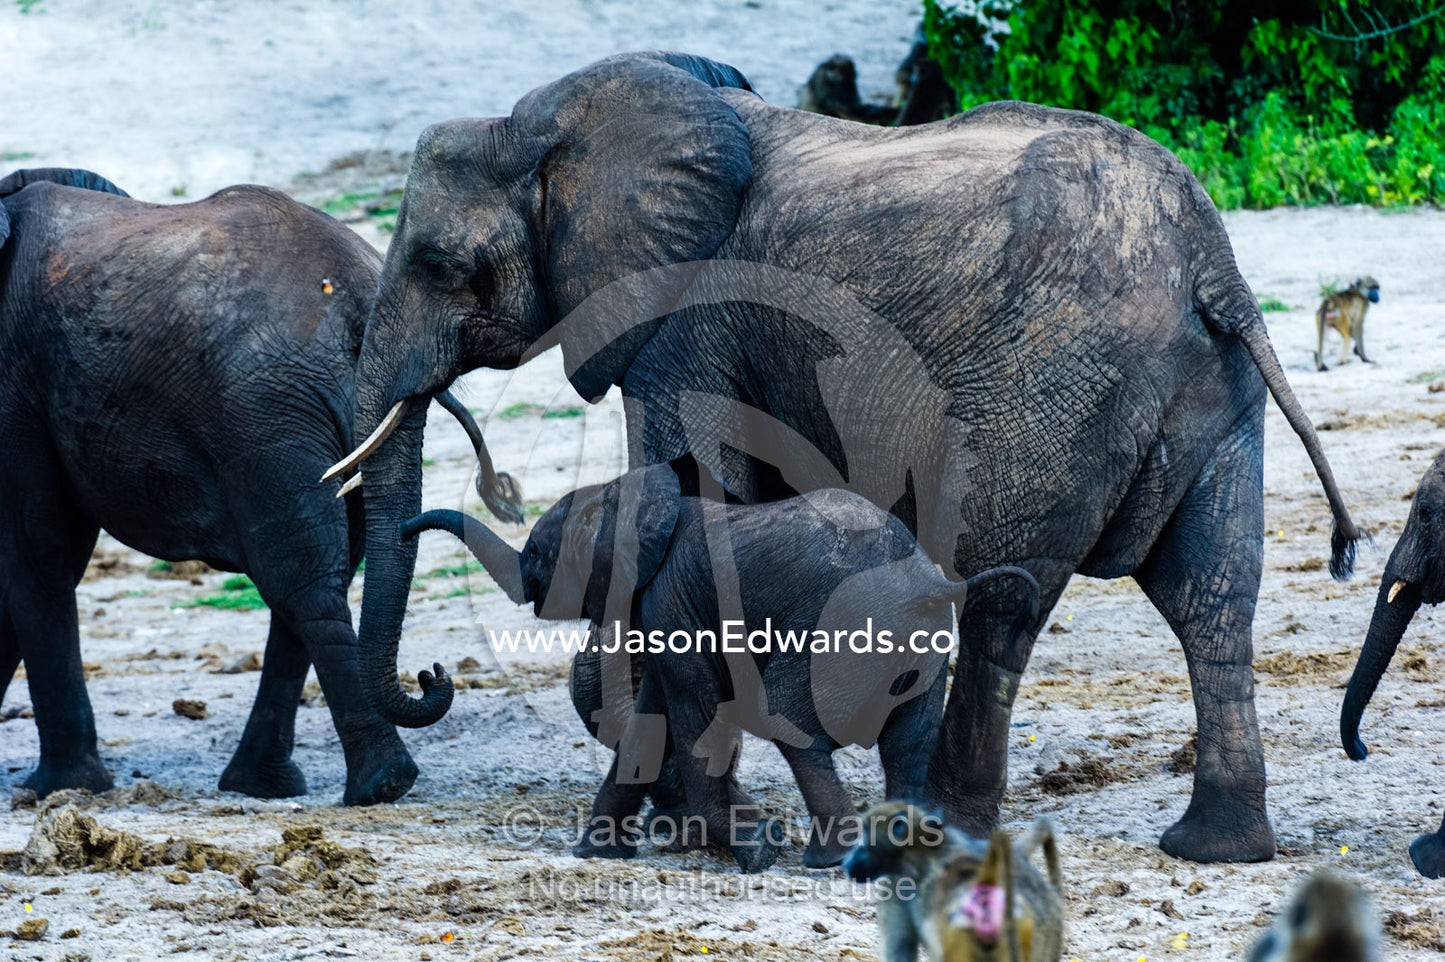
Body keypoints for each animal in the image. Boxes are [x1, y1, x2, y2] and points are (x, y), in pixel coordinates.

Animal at [0, 168, 519, 803]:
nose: (431, 673)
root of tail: (357, 292)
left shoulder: (12, 377)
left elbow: (36, 553)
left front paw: (60, 789)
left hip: (260, 413)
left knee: (302, 580)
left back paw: (373, 784)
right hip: (287, 413)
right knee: (319, 574)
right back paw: (294, 785)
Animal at [401, 462, 1040, 870]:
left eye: (535, 552)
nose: (431, 671)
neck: (633, 499)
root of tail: (936, 583)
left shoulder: (670, 600)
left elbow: (695, 717)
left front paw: (755, 849)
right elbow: (652, 719)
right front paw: (595, 854)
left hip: (849, 630)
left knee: (792, 723)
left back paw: (824, 860)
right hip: (922, 645)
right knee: (907, 740)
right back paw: (901, 851)